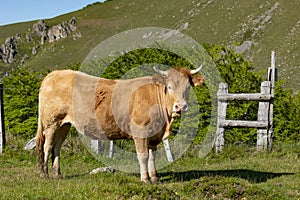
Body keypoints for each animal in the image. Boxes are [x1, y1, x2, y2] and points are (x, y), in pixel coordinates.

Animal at [35, 65, 204, 183]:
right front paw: (145, 179)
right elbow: (143, 156)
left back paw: (57, 174)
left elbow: (152, 157)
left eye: (188, 87)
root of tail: (53, 74)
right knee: (47, 146)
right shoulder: (140, 132)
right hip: (51, 122)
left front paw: (155, 178)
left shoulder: (154, 134)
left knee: (57, 146)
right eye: (169, 87)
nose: (180, 106)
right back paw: (44, 174)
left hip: (64, 124)